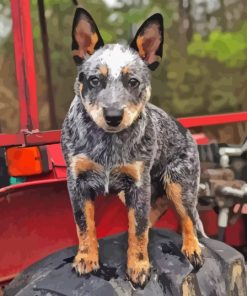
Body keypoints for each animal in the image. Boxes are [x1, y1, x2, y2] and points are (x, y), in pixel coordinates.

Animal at [61, 7, 205, 286]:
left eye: (133, 81)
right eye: (94, 80)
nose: (113, 115)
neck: (107, 144)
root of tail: (187, 132)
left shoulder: (138, 183)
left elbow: (137, 231)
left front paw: (138, 266)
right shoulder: (77, 182)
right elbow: (84, 224)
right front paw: (86, 258)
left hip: (179, 184)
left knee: (188, 217)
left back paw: (192, 247)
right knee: (156, 208)